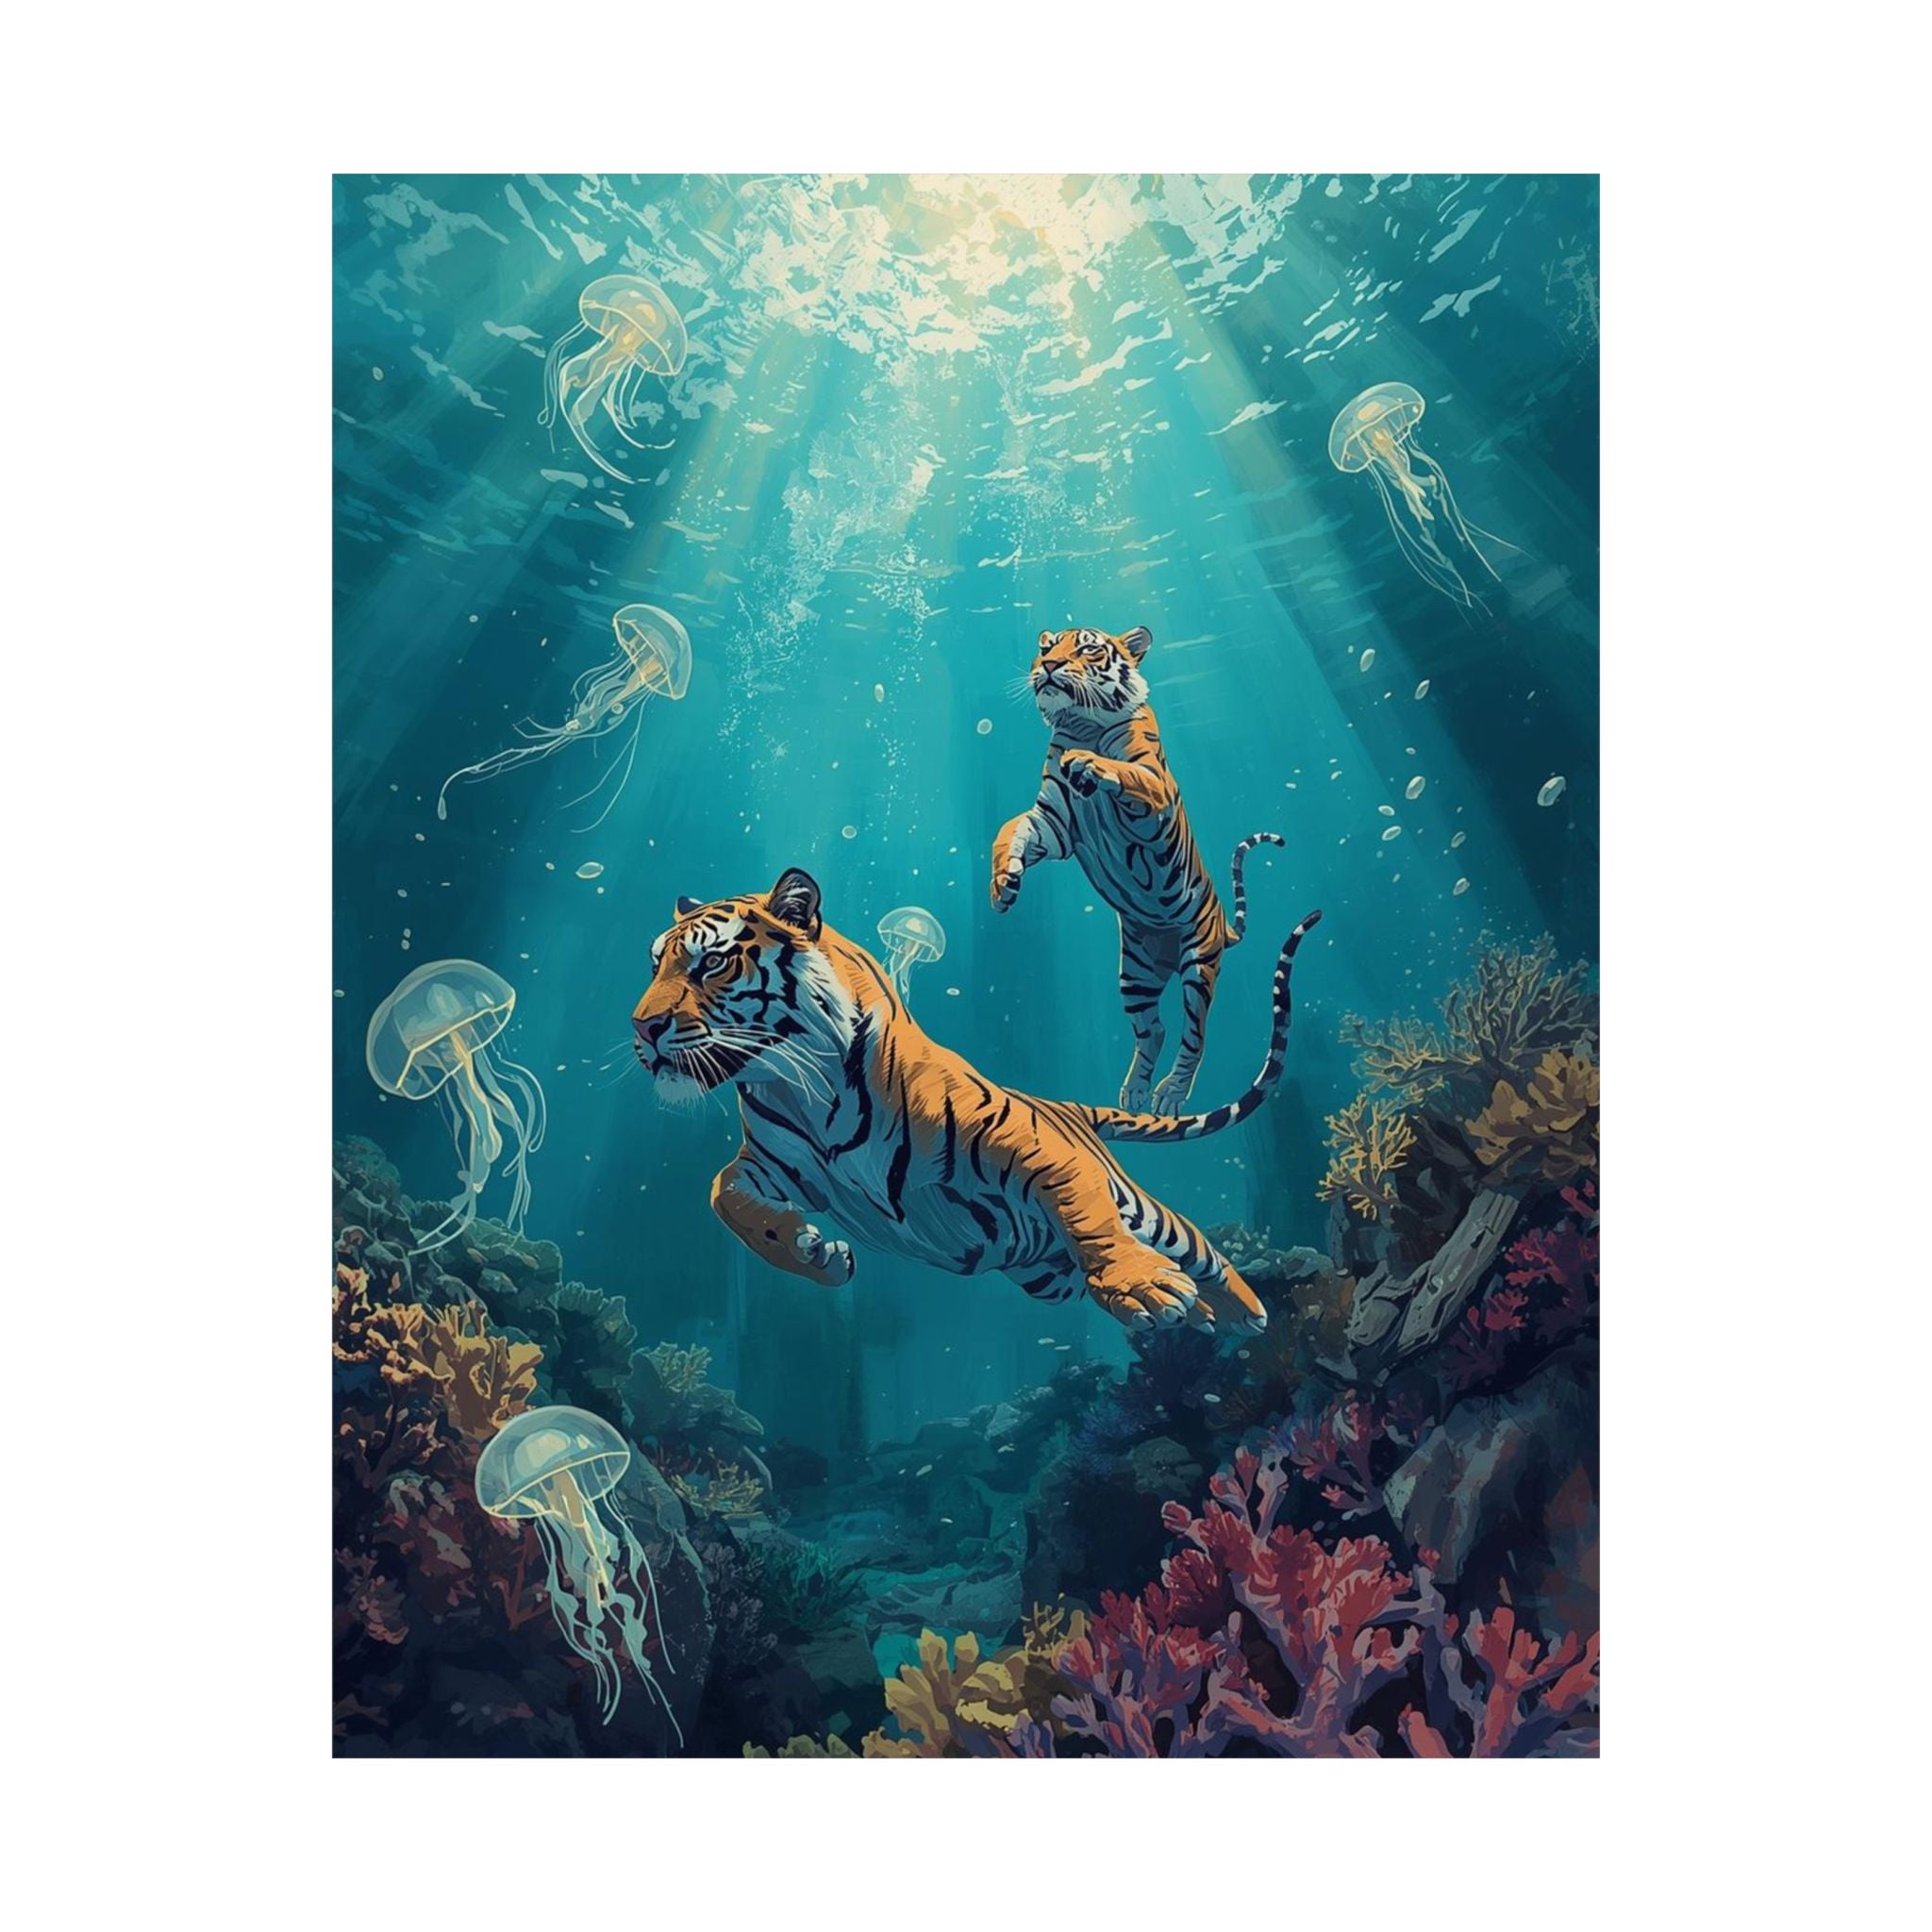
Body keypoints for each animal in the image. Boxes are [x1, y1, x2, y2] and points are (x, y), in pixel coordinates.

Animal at [631, 867, 1321, 1334]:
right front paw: (813, 1252)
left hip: (1132, 1206)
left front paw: (1140, 1286)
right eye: (655, 962)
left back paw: (1243, 1309)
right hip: (1045, 1275)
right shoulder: (769, 1165)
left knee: (1194, 1242)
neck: (799, 1087)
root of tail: (1065, 1105)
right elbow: (723, 1198)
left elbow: (1091, 1222)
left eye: (713, 963)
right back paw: (1200, 1314)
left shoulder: (1039, 1156)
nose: (641, 1027)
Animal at [993, 623, 1286, 1115]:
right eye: (1046, 647)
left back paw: (1169, 1096)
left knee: (1195, 1034)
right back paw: (1133, 1092)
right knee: (1155, 1030)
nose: (1049, 665)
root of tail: (1222, 923)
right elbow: (1008, 829)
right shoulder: (1053, 824)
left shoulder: (1152, 801)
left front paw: (1089, 764)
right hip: (1134, 975)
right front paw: (1003, 883)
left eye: (1088, 648)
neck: (1081, 724)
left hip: (1198, 964)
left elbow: (1128, 773)